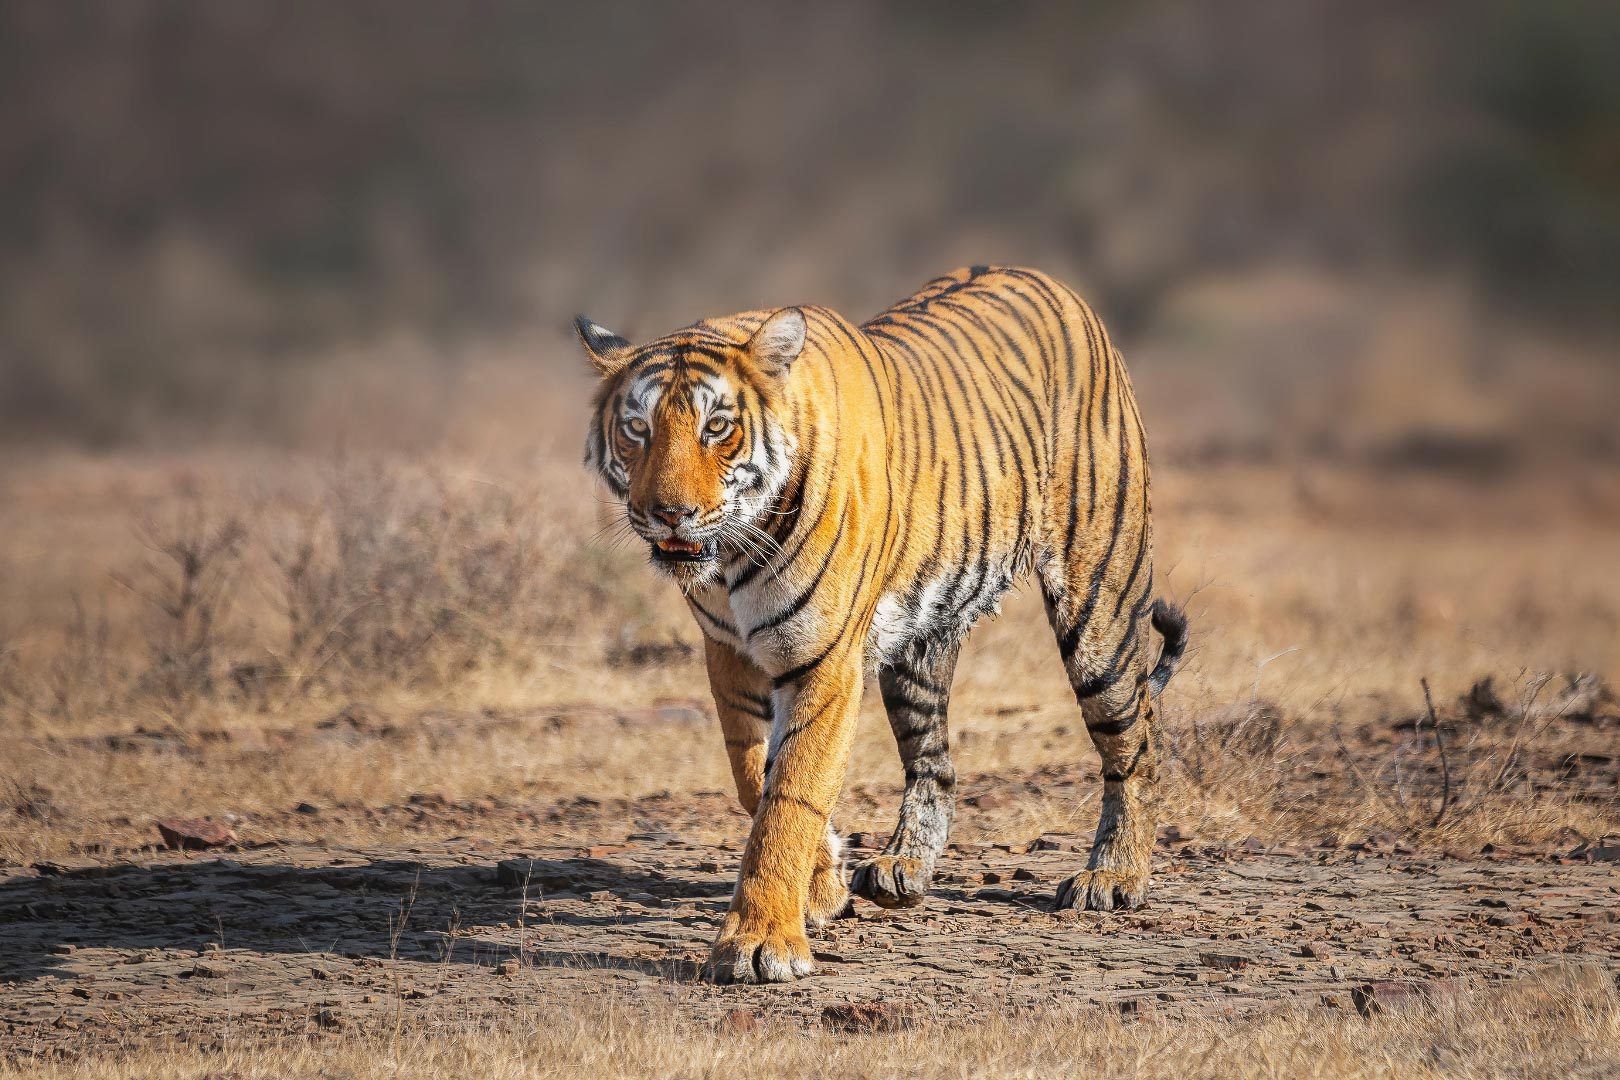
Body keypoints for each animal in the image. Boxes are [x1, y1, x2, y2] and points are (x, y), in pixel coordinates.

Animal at [576, 265, 1185, 984]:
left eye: (717, 427)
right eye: (637, 429)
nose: (669, 513)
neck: (731, 559)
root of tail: (1049, 280)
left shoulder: (824, 660)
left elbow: (791, 795)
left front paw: (759, 943)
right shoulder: (728, 655)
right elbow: (755, 777)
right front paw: (822, 884)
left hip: (1098, 606)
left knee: (1136, 739)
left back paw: (1114, 876)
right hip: (917, 649)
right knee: (935, 763)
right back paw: (904, 868)